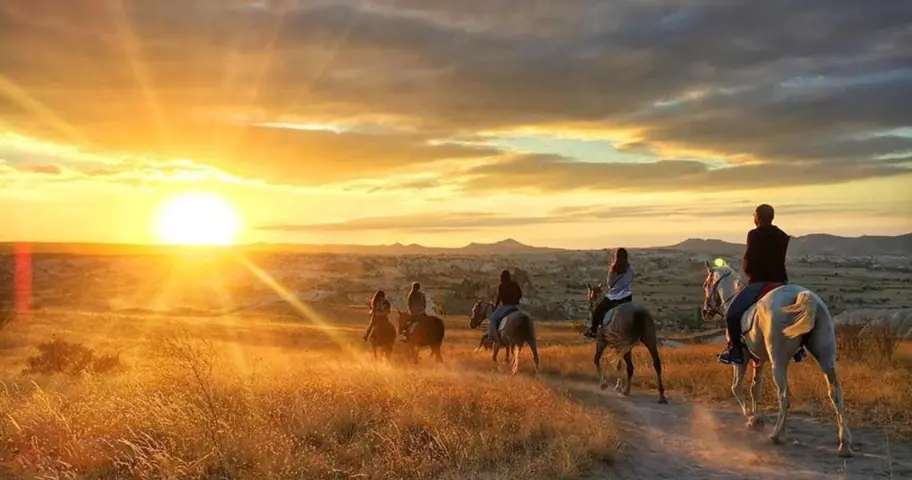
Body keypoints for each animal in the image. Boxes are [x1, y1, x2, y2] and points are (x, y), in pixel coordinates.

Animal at [700, 260, 852, 456]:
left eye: (706, 284)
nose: (706, 312)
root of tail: (804, 296)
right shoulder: (759, 360)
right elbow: (755, 388)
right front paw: (757, 418)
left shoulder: (742, 358)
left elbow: (736, 387)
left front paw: (751, 417)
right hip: (826, 358)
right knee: (836, 393)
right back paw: (844, 443)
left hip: (778, 362)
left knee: (784, 395)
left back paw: (776, 435)